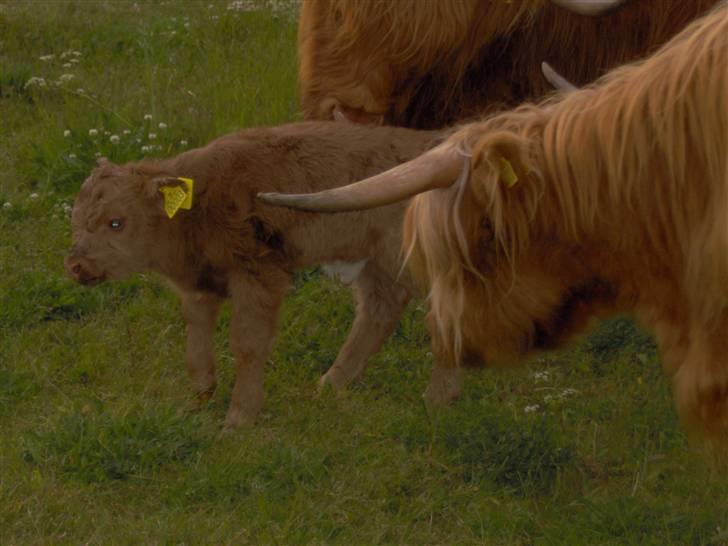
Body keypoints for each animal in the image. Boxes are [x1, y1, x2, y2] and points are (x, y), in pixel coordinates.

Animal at [65, 122, 464, 429]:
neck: (198, 202)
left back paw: (435, 400)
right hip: (377, 266)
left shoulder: (257, 278)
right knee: (379, 311)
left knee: (442, 315)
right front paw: (199, 398)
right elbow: (196, 339)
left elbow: (248, 344)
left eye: (116, 222)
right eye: (76, 216)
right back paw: (330, 383)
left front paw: (238, 419)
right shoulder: (199, 287)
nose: (76, 267)